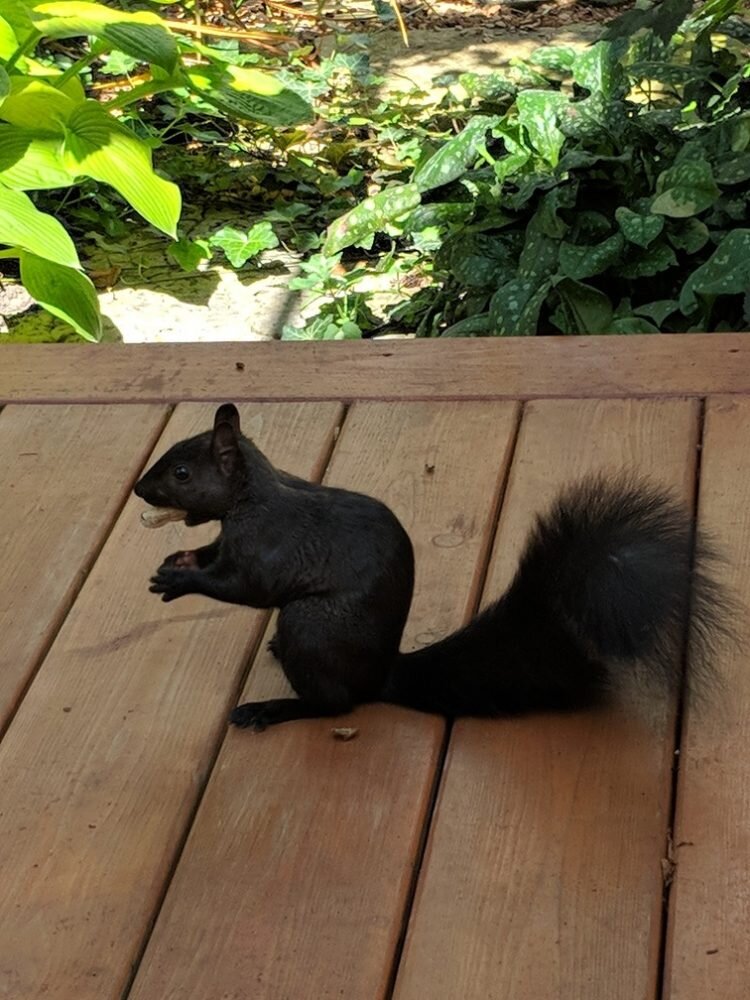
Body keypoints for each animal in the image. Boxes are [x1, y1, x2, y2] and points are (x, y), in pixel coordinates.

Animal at [133, 403, 728, 731]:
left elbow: (243, 587)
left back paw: (272, 709)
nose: (139, 488)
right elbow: (215, 557)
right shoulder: (231, 541)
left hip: (312, 627)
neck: (251, 499)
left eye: (182, 473)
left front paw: (179, 579)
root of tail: (382, 674)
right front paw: (179, 560)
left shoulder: (268, 549)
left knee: (336, 705)